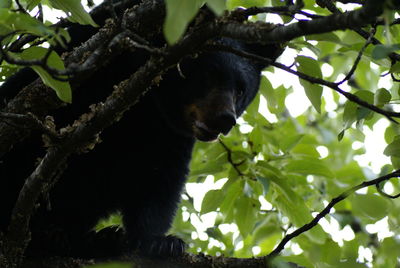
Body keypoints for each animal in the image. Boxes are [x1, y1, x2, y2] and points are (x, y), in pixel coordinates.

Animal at [0, 0, 282, 258]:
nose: (225, 119)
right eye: (209, 75)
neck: (146, 104)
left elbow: (159, 179)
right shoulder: (74, 70)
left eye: (241, 89)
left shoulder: (167, 132)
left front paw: (161, 242)